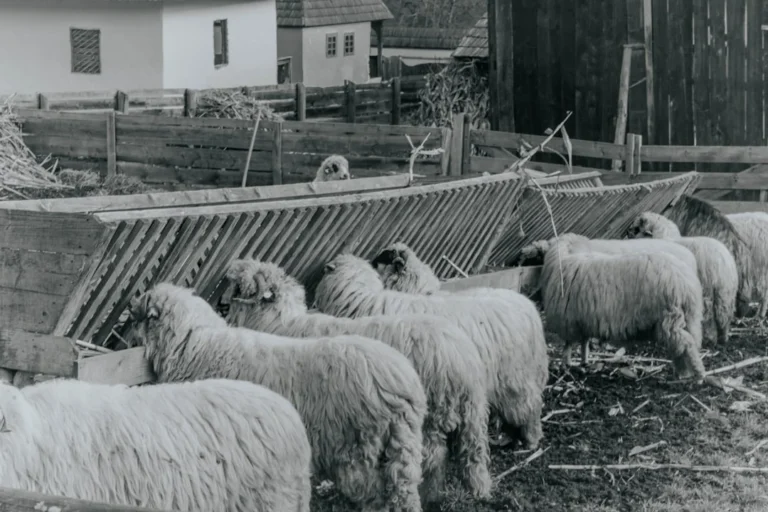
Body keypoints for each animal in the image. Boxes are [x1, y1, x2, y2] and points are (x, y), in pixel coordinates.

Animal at [129, 283, 427, 512]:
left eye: (141, 314)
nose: (130, 307)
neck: (193, 342)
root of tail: (405, 385)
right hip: (399, 447)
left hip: (361, 453)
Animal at [223, 259, 492, 502]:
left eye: (239, 288)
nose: (221, 304)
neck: (279, 321)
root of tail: (460, 355)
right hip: (471, 411)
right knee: (474, 452)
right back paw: (479, 491)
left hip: (431, 417)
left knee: (433, 457)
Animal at [314, 253, 549, 451]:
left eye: (381, 259)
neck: (364, 300)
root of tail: (529, 308)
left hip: (515, 378)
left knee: (531, 405)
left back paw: (530, 440)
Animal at [531, 234, 706, 380]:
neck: (565, 257)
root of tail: (686, 282)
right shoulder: (583, 319)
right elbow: (584, 342)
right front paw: (584, 361)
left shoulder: (568, 320)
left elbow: (568, 345)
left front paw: (566, 364)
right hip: (688, 318)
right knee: (687, 344)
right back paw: (685, 371)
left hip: (670, 318)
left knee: (687, 344)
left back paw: (698, 374)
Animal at [626, 211, 739, 344]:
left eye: (637, 229)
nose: (627, 233)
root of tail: (723, 263)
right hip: (726, 294)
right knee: (724, 316)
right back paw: (723, 338)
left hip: (708, 291)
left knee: (709, 316)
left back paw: (709, 338)